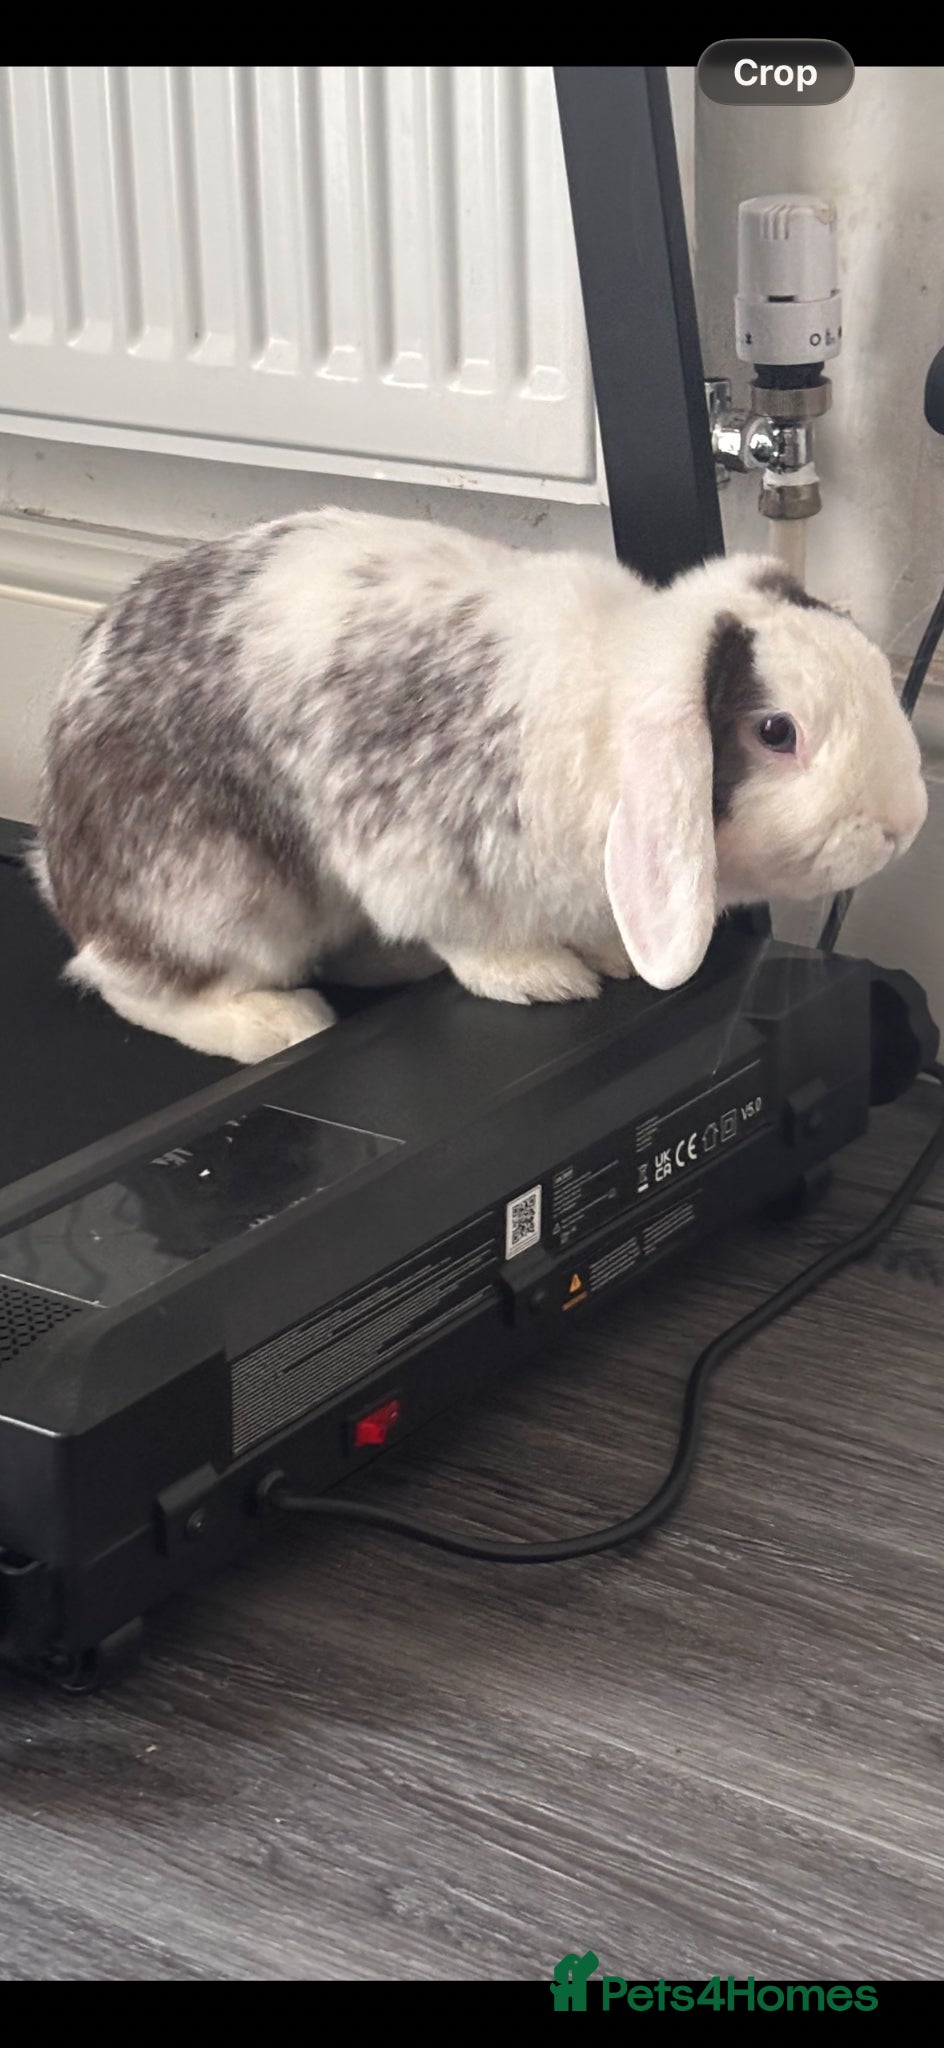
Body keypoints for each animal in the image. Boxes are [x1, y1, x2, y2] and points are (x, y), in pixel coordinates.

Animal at [34, 507, 927, 1064]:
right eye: (777, 732)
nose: (905, 824)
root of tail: (56, 858)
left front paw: (609, 956)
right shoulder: (424, 855)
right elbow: (476, 941)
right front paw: (544, 978)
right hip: (218, 892)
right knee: (129, 983)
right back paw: (276, 1022)